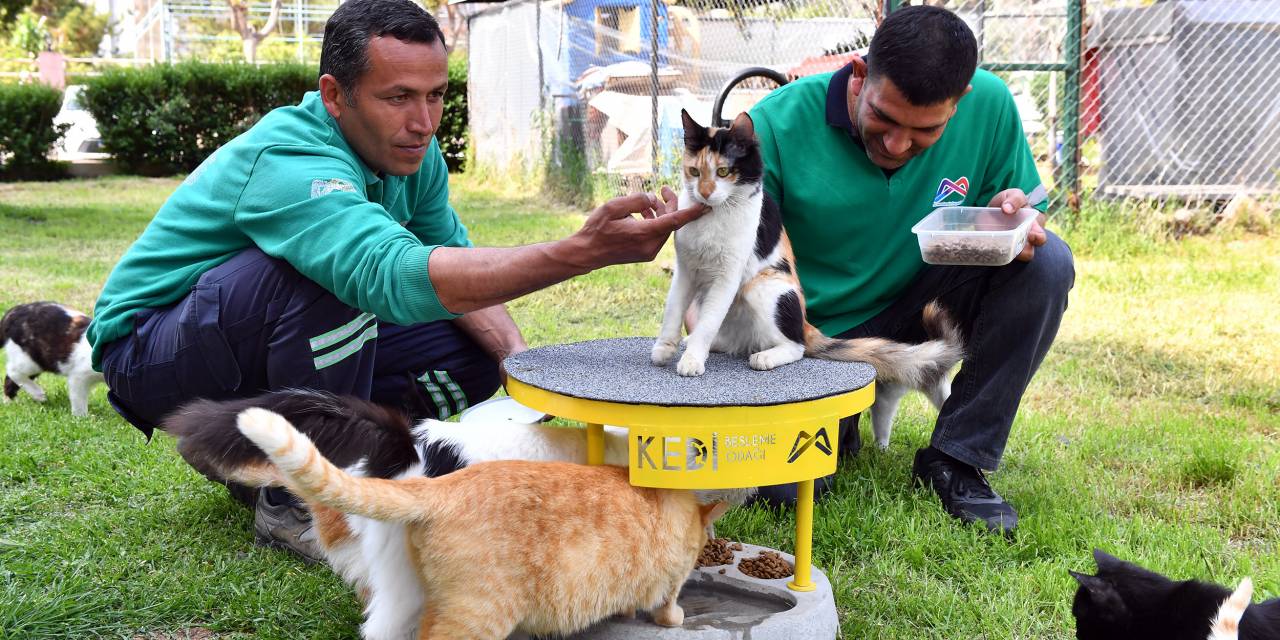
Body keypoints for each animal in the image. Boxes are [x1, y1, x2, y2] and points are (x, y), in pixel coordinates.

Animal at [650, 110, 962, 448]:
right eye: (694, 171)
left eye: (723, 171)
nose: (705, 192)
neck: (712, 215)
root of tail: (805, 323)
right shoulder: (685, 270)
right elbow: (672, 310)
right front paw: (666, 348)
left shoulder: (728, 275)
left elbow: (708, 321)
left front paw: (692, 360)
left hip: (764, 286)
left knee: (796, 346)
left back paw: (764, 357)